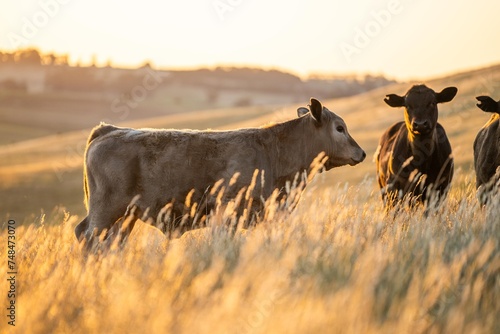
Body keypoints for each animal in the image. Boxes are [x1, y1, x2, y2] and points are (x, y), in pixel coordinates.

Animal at [76, 98, 366, 249]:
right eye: (339, 128)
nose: (361, 153)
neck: (273, 151)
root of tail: (109, 129)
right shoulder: (226, 213)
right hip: (106, 212)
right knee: (88, 237)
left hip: (124, 218)